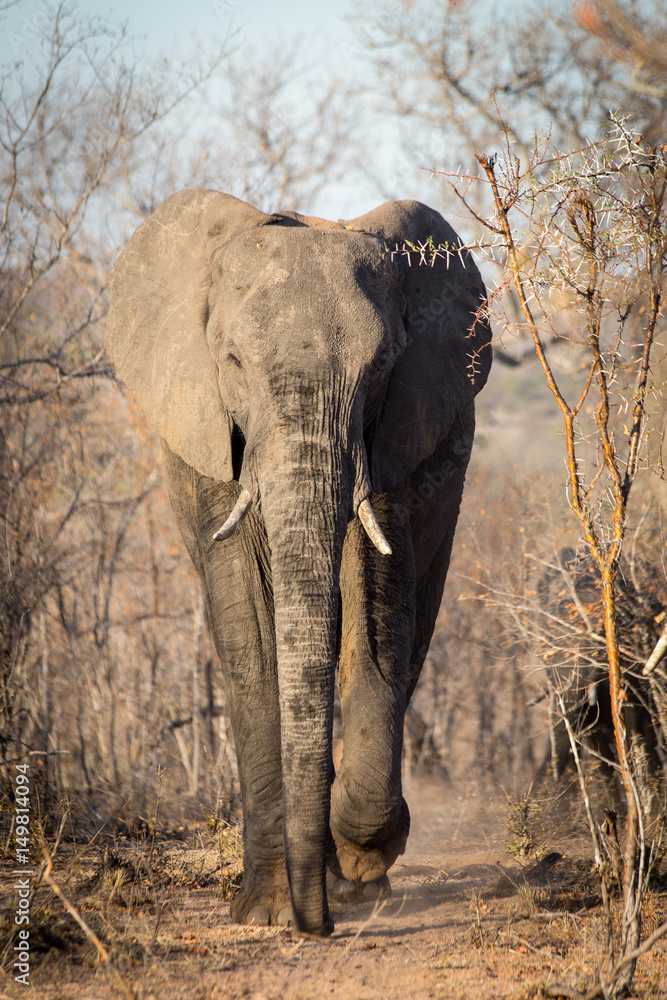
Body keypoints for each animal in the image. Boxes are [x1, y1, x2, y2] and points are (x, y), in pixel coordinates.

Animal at [105, 190, 492, 936]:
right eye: (231, 360)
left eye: (382, 366)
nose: (319, 923)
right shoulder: (209, 432)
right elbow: (250, 629)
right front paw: (264, 913)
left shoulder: (395, 431)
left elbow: (377, 604)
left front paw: (357, 862)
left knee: (414, 623)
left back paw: (357, 878)